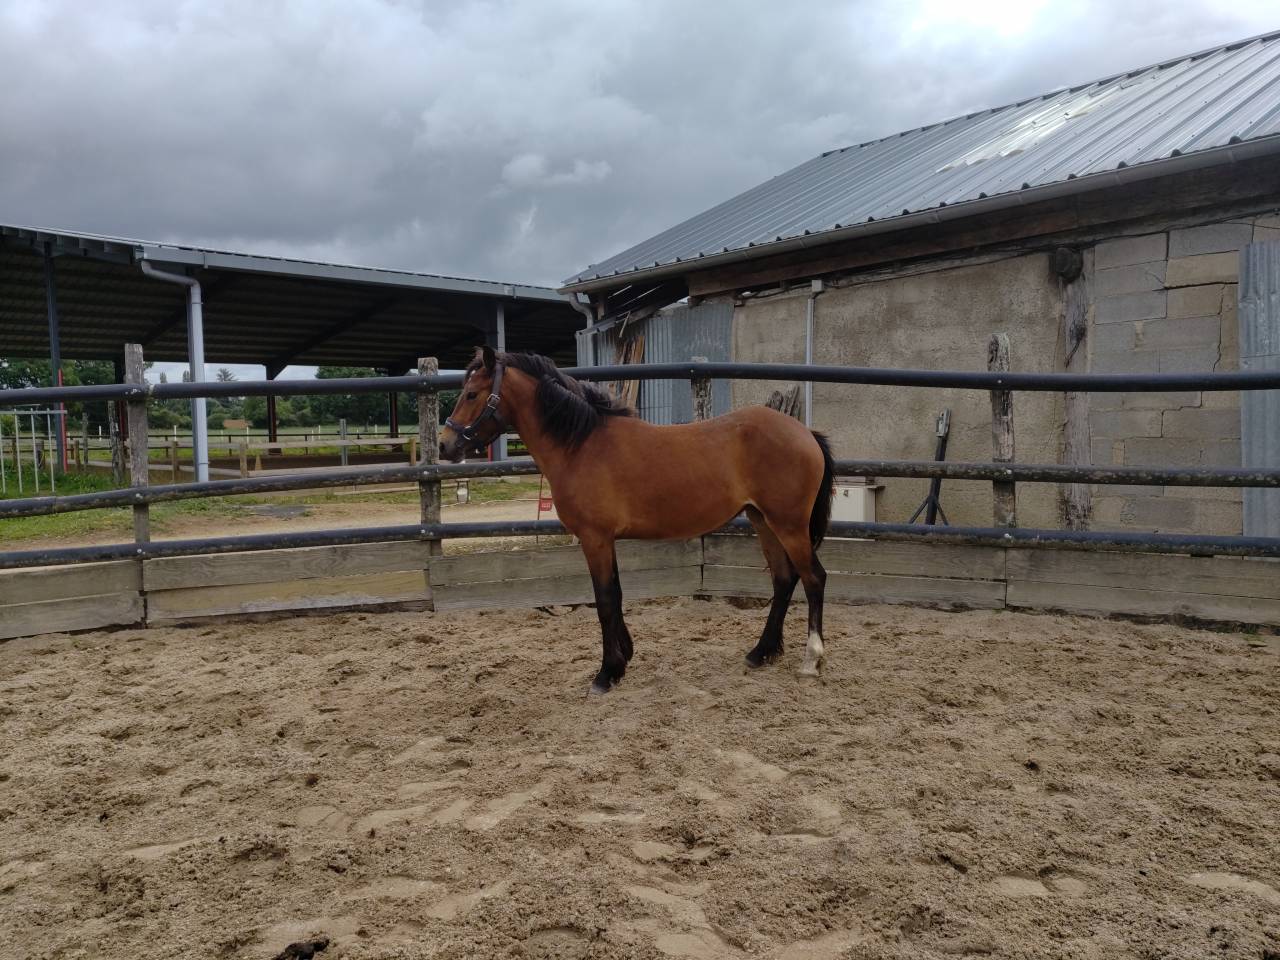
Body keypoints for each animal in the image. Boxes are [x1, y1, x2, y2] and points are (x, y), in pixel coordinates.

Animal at [440, 346, 834, 696]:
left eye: (471, 393)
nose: (445, 445)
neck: (581, 445)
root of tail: (806, 433)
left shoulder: (594, 538)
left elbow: (604, 600)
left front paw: (606, 673)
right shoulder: (605, 540)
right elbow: (615, 593)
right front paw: (624, 658)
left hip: (788, 525)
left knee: (814, 578)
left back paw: (810, 660)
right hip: (763, 521)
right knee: (784, 580)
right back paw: (761, 652)